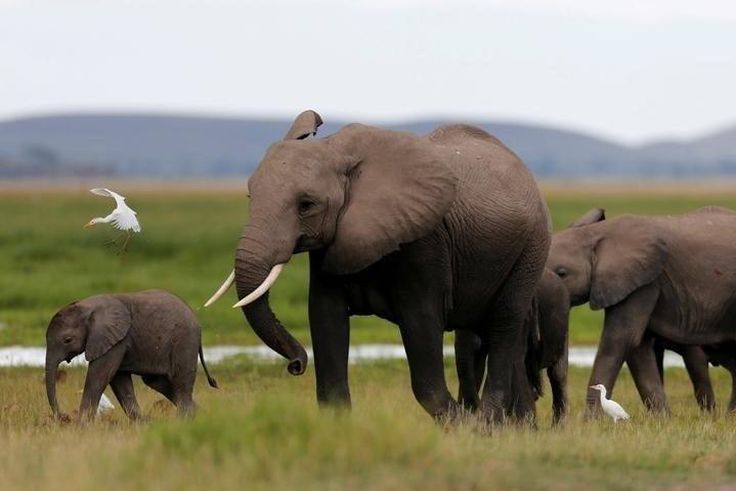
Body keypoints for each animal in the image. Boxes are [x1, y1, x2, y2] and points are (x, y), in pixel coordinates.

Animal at [45, 289, 218, 422]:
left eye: (67, 340)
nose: (64, 417)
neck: (86, 306)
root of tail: (197, 320)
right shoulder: (116, 340)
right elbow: (119, 380)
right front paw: (146, 424)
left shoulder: (114, 339)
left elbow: (99, 375)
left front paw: (81, 427)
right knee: (157, 382)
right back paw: (202, 415)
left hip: (184, 341)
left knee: (180, 383)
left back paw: (185, 421)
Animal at [205, 110, 551, 423]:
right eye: (250, 196)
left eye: (306, 205)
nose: (296, 365)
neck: (337, 152)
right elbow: (325, 317)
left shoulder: (424, 241)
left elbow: (421, 324)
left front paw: (463, 425)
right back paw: (516, 428)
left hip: (531, 249)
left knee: (504, 323)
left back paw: (488, 424)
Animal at [547, 206, 736, 414]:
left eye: (562, 273)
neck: (597, 233)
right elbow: (638, 347)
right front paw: (662, 418)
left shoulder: (645, 282)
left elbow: (620, 340)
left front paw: (590, 420)